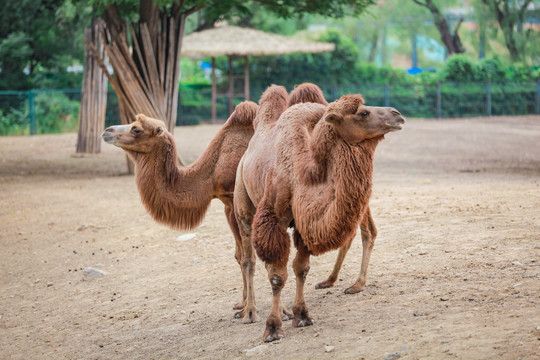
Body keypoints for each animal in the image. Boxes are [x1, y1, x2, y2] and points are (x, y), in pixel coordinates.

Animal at [236, 86, 404, 342]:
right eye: (363, 113)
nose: (398, 114)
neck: (302, 174)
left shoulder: (304, 224)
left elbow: (300, 268)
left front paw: (301, 315)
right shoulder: (273, 218)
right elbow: (278, 276)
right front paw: (273, 328)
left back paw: (283, 310)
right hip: (244, 203)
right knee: (249, 260)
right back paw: (250, 311)